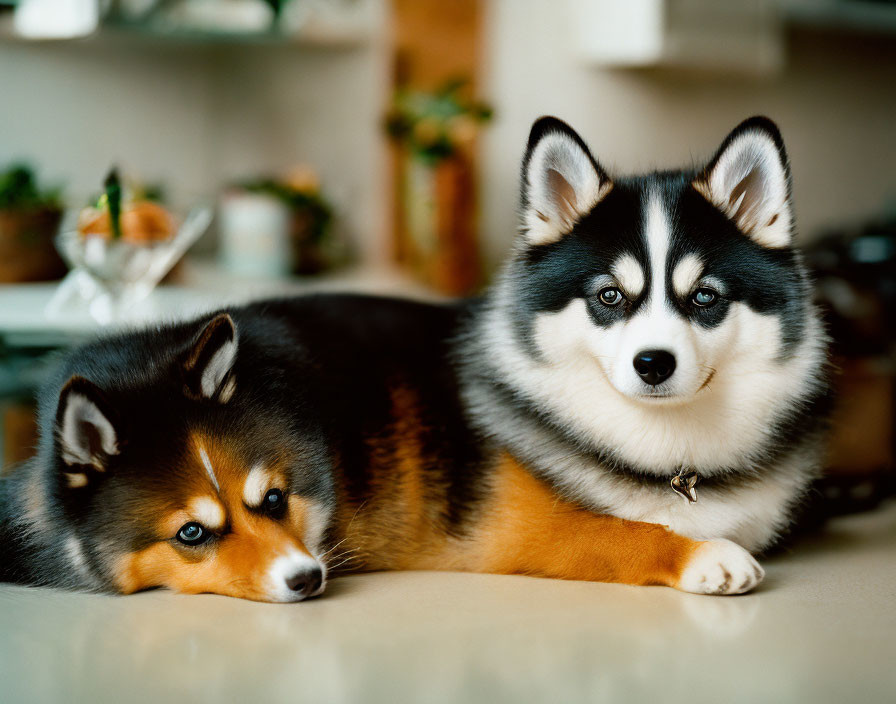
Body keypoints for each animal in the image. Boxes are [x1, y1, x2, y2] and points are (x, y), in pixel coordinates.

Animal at [0, 115, 832, 600]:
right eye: (608, 296)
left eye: (705, 297)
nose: (653, 364)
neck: (672, 457)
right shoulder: (522, 533)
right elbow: (623, 533)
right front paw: (706, 555)